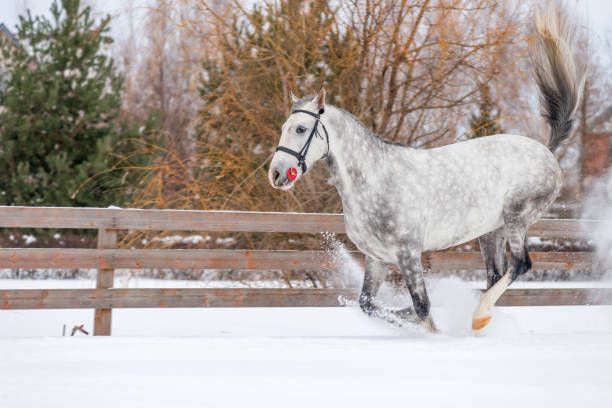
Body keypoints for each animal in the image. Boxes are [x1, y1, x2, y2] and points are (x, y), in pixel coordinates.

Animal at [268, 3, 584, 334]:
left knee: (521, 264)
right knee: (496, 275)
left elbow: (422, 306)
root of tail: (545, 150)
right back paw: (479, 319)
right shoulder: (377, 258)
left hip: (517, 217)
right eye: (284, 127)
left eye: (301, 129)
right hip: (491, 231)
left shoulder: (408, 253)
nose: (276, 174)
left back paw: (478, 315)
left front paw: (434, 332)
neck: (374, 182)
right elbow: (371, 305)